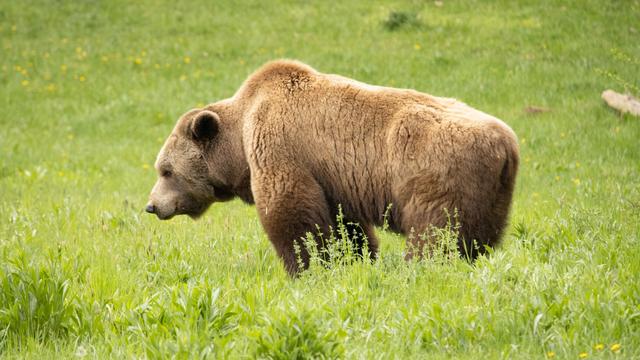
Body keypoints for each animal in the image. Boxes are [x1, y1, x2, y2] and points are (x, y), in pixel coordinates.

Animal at [146, 59, 520, 276]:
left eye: (166, 170)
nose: (152, 205)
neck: (238, 141)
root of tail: (506, 144)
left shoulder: (281, 145)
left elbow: (291, 211)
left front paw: (305, 267)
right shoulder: (334, 178)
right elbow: (345, 224)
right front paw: (352, 259)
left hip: (437, 172)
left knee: (435, 231)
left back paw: (422, 268)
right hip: (490, 195)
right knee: (478, 237)